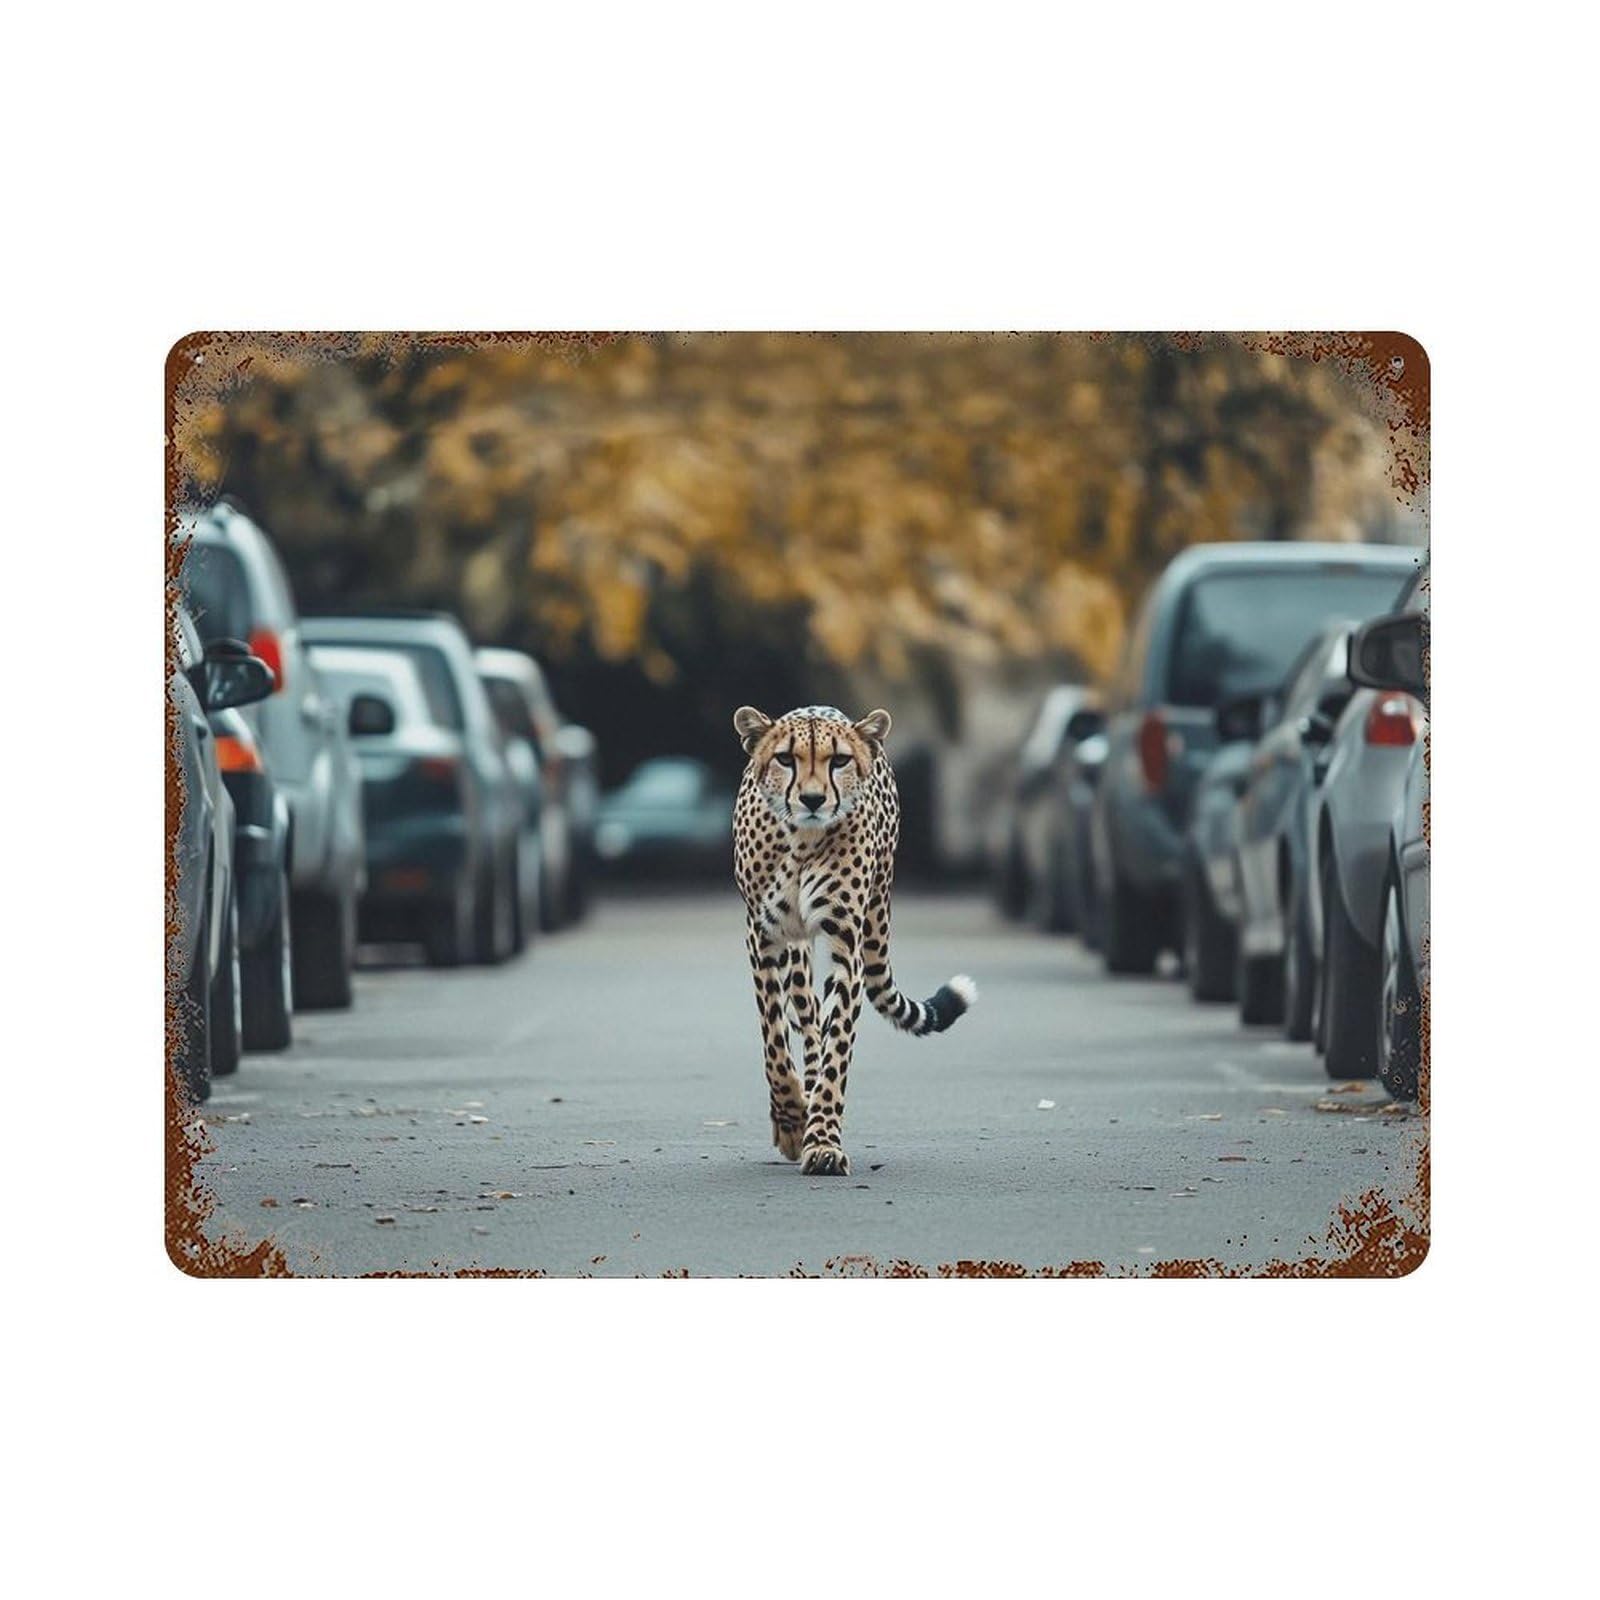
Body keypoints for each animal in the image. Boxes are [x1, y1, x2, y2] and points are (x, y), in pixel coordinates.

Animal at [732, 703, 977, 1177]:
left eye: (839, 761)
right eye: (785, 758)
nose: (812, 799)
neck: (801, 840)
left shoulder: (846, 946)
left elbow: (837, 1049)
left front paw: (823, 1142)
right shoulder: (763, 936)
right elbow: (774, 1038)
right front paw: (792, 1120)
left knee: (821, 1029)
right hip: (796, 953)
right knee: (806, 1021)